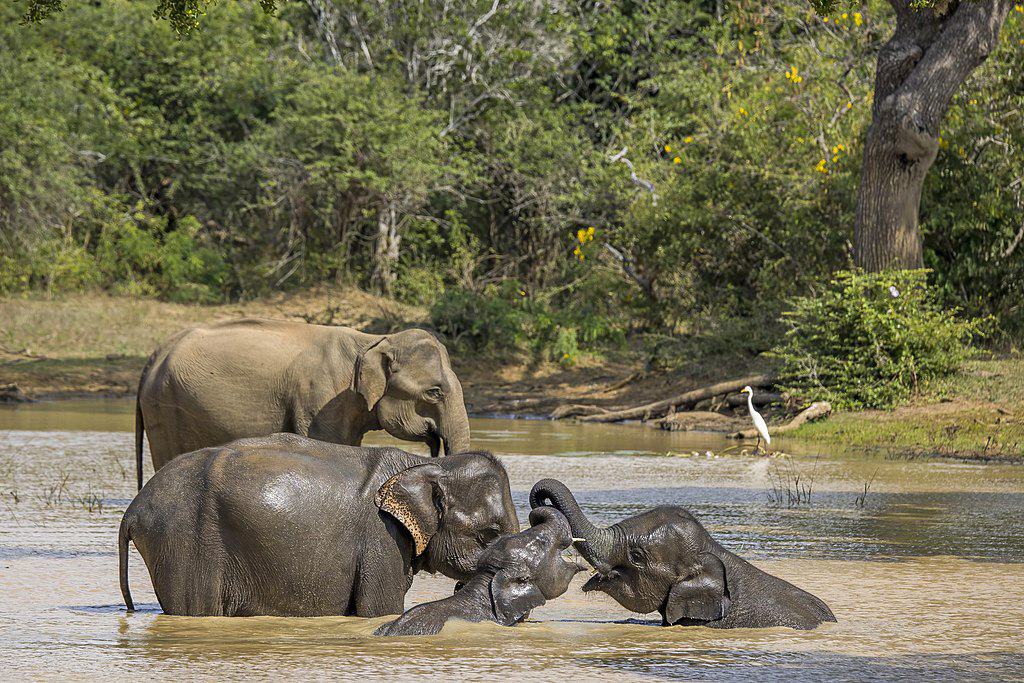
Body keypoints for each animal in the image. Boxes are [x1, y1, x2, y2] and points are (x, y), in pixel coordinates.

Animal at [118, 433, 519, 617]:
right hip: (185, 542)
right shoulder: (382, 539)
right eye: (490, 534)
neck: (423, 464)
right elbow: (378, 609)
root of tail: (133, 509)